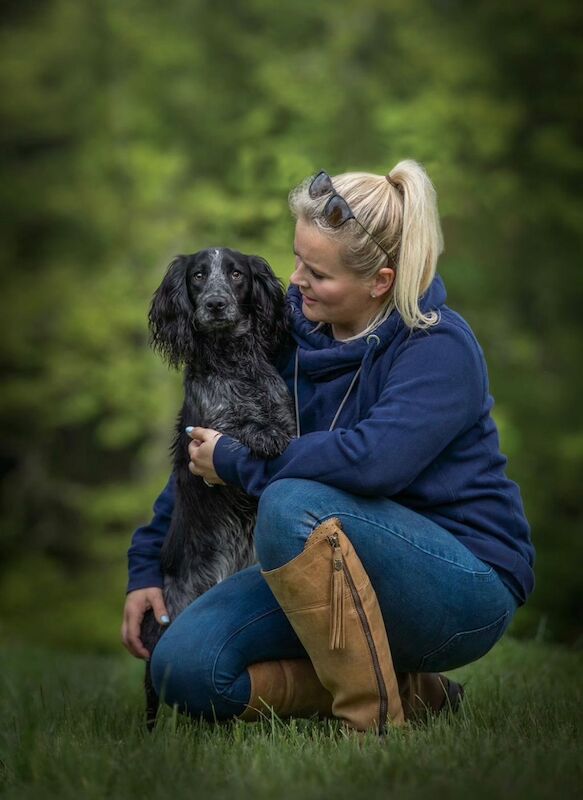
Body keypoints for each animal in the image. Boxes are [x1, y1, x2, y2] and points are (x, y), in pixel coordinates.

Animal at [141, 247, 296, 728]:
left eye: (236, 274)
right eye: (197, 276)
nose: (215, 304)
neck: (235, 366)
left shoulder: (288, 415)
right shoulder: (207, 427)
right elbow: (236, 429)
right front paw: (260, 435)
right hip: (167, 627)